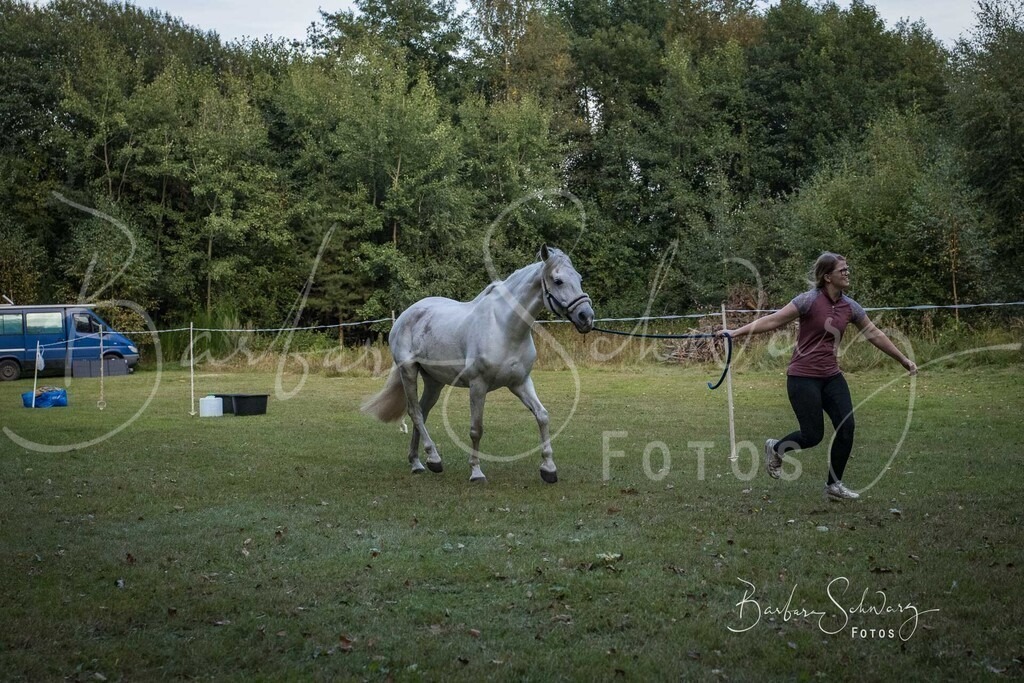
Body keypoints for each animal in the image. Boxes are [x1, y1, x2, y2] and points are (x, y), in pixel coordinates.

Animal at [361, 245, 595, 483]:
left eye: (579, 278)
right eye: (558, 281)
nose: (586, 316)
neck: (504, 328)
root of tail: (405, 316)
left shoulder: (520, 383)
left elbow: (542, 416)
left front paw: (548, 468)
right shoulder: (478, 385)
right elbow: (476, 428)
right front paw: (476, 472)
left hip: (434, 382)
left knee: (423, 412)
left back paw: (418, 462)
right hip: (408, 371)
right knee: (415, 412)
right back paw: (433, 458)